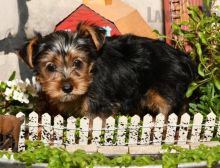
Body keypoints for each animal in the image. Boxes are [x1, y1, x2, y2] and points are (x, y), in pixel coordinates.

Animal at [18, 22, 194, 119]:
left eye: (77, 62)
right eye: (50, 67)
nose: (67, 88)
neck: (91, 72)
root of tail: (182, 57)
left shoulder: (98, 104)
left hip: (166, 92)